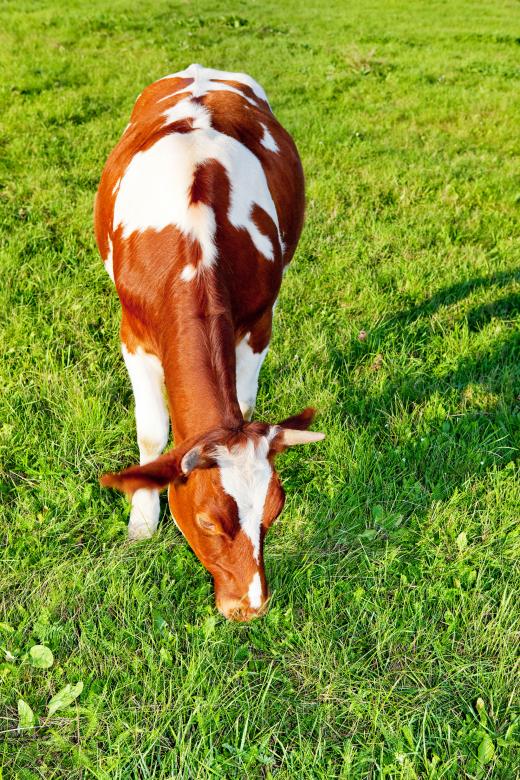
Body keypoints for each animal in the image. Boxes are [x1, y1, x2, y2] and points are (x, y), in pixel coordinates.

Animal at [95, 64, 324, 621]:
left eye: (275, 510)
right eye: (205, 521)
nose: (250, 606)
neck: (194, 249)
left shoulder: (259, 324)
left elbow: (245, 399)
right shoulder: (133, 335)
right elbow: (152, 435)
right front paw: (141, 521)